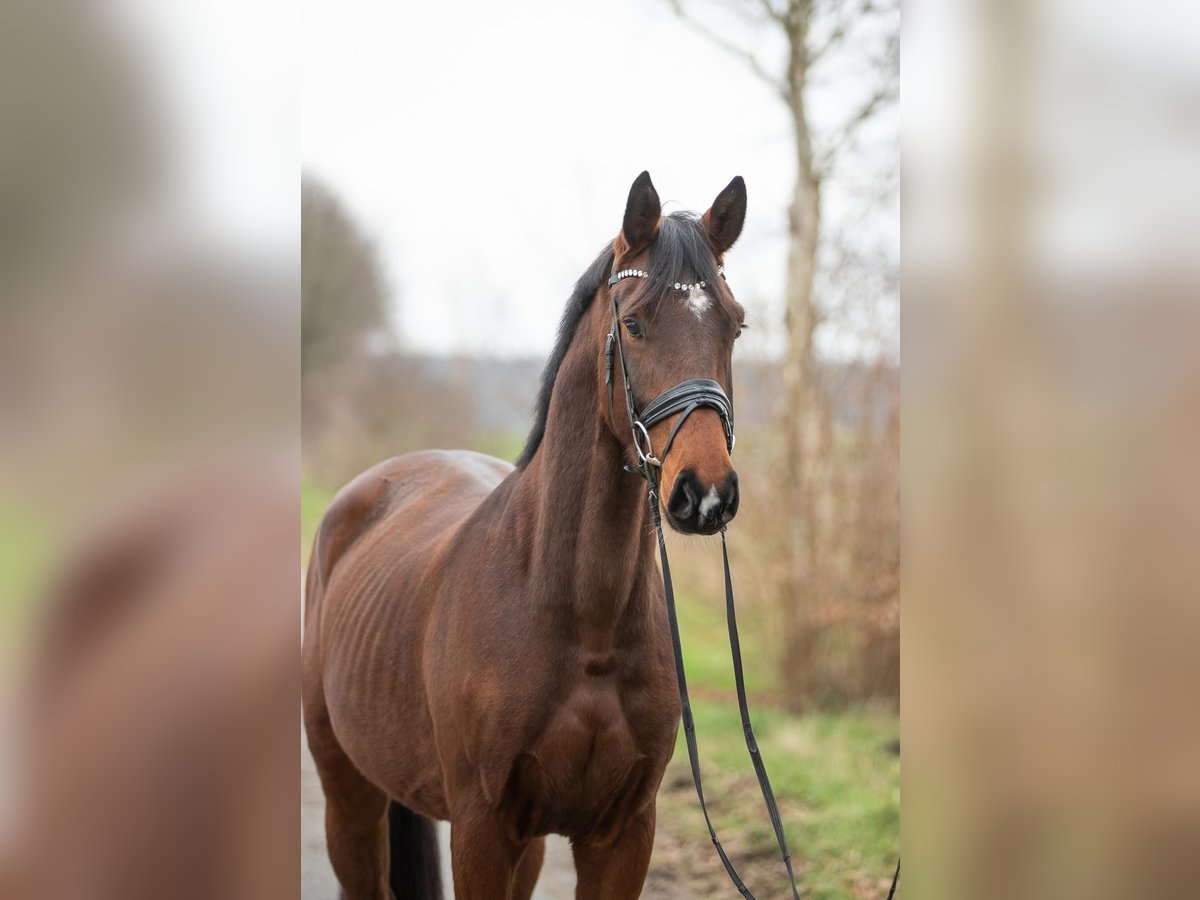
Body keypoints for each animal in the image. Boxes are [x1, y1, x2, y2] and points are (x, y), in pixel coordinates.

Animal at [304, 172, 744, 897]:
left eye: (735, 325)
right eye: (634, 324)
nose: (705, 494)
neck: (579, 619)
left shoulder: (622, 834)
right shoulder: (481, 829)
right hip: (350, 798)